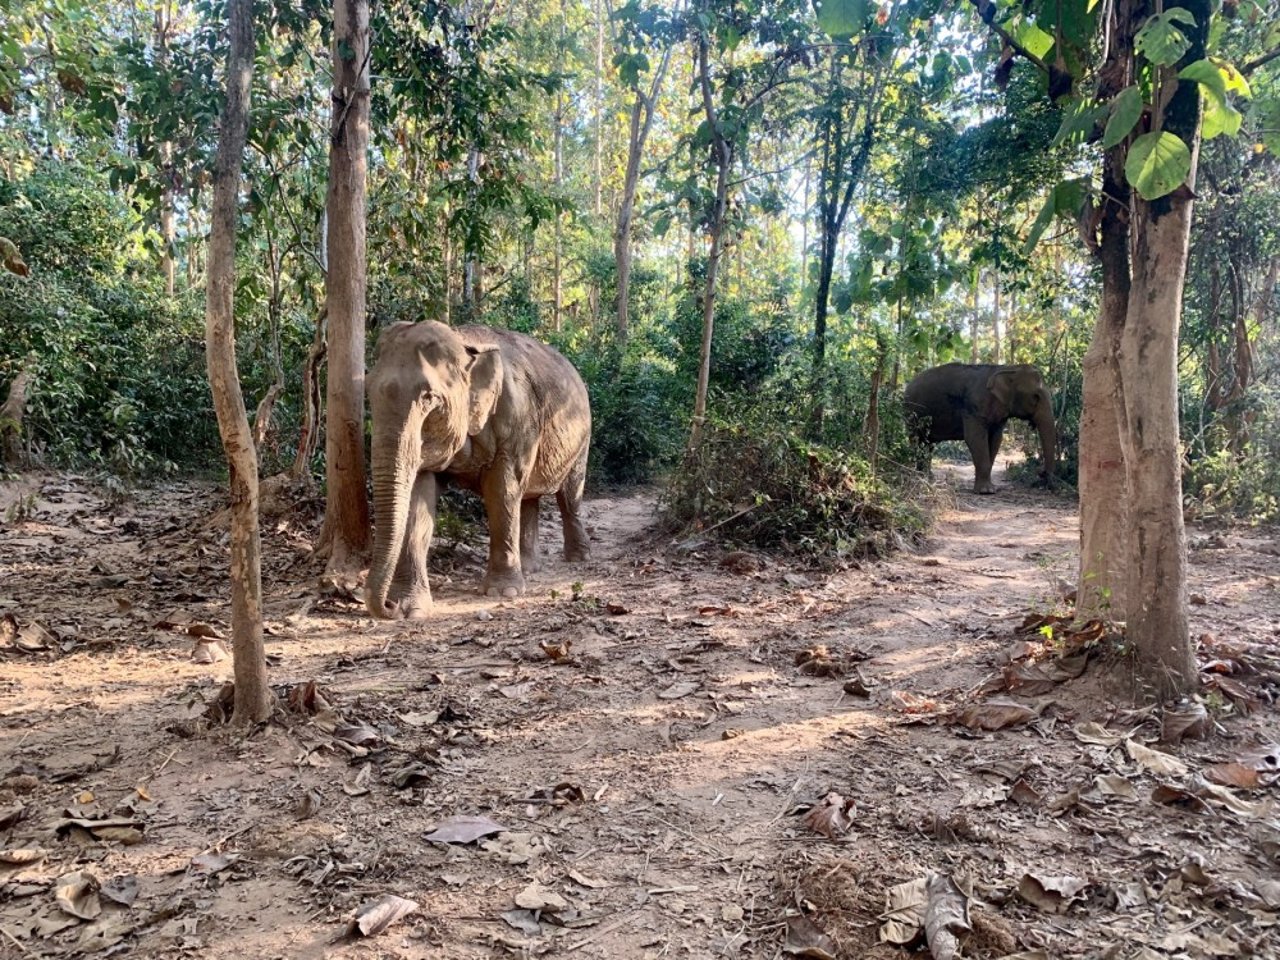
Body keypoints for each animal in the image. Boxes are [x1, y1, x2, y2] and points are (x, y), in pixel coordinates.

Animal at [368, 321, 591, 624]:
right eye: (367, 391)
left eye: (429, 398)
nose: (388, 606)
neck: (465, 343)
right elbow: (418, 498)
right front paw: (409, 608)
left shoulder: (516, 419)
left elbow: (502, 490)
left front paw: (504, 592)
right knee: (529, 498)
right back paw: (530, 568)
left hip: (582, 439)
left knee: (569, 496)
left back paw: (578, 558)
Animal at [896, 363, 1054, 496]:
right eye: (1035, 396)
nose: (1040, 472)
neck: (1005, 368)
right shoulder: (973, 409)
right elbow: (974, 438)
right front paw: (985, 492)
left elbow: (996, 440)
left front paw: (990, 489)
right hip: (911, 414)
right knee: (918, 440)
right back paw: (921, 479)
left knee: (928, 444)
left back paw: (928, 479)